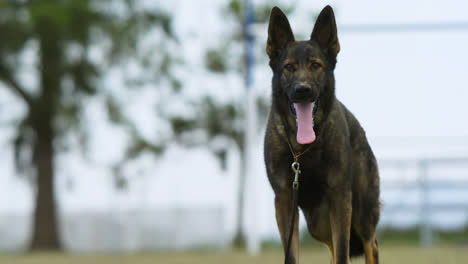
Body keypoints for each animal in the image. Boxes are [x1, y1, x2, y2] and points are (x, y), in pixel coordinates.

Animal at [264, 4, 380, 264]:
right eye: (289, 67)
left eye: (316, 65)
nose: (303, 90)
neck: (303, 151)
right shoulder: (284, 201)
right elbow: (292, 256)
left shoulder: (340, 198)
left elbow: (343, 253)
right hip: (318, 222)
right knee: (333, 248)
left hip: (360, 214)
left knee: (371, 244)